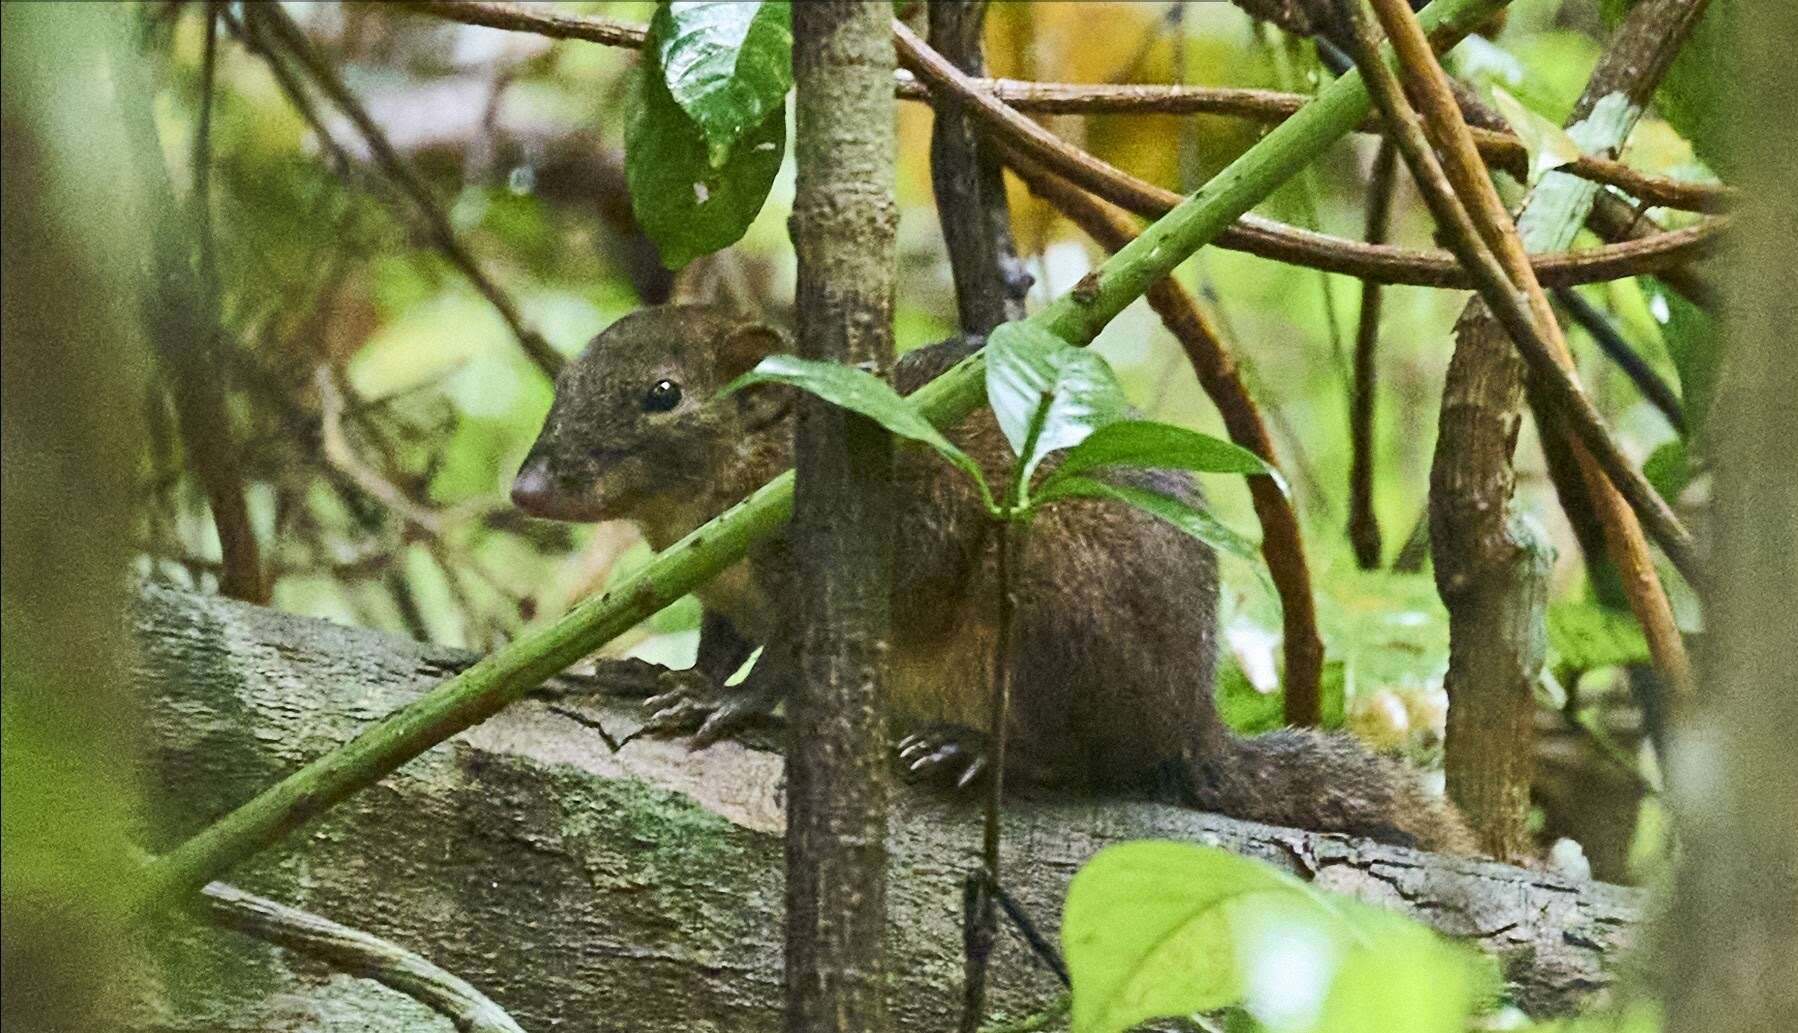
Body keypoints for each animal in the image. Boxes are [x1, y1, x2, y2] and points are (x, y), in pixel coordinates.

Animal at [517, 307, 1474, 855]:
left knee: (1081, 758)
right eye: (567, 379)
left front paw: (729, 705)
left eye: (662, 394)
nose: (526, 488)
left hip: (1053, 601)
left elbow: (779, 668)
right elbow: (718, 648)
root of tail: (1191, 725)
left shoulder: (820, 586)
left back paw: (967, 747)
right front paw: (664, 675)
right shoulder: (726, 594)